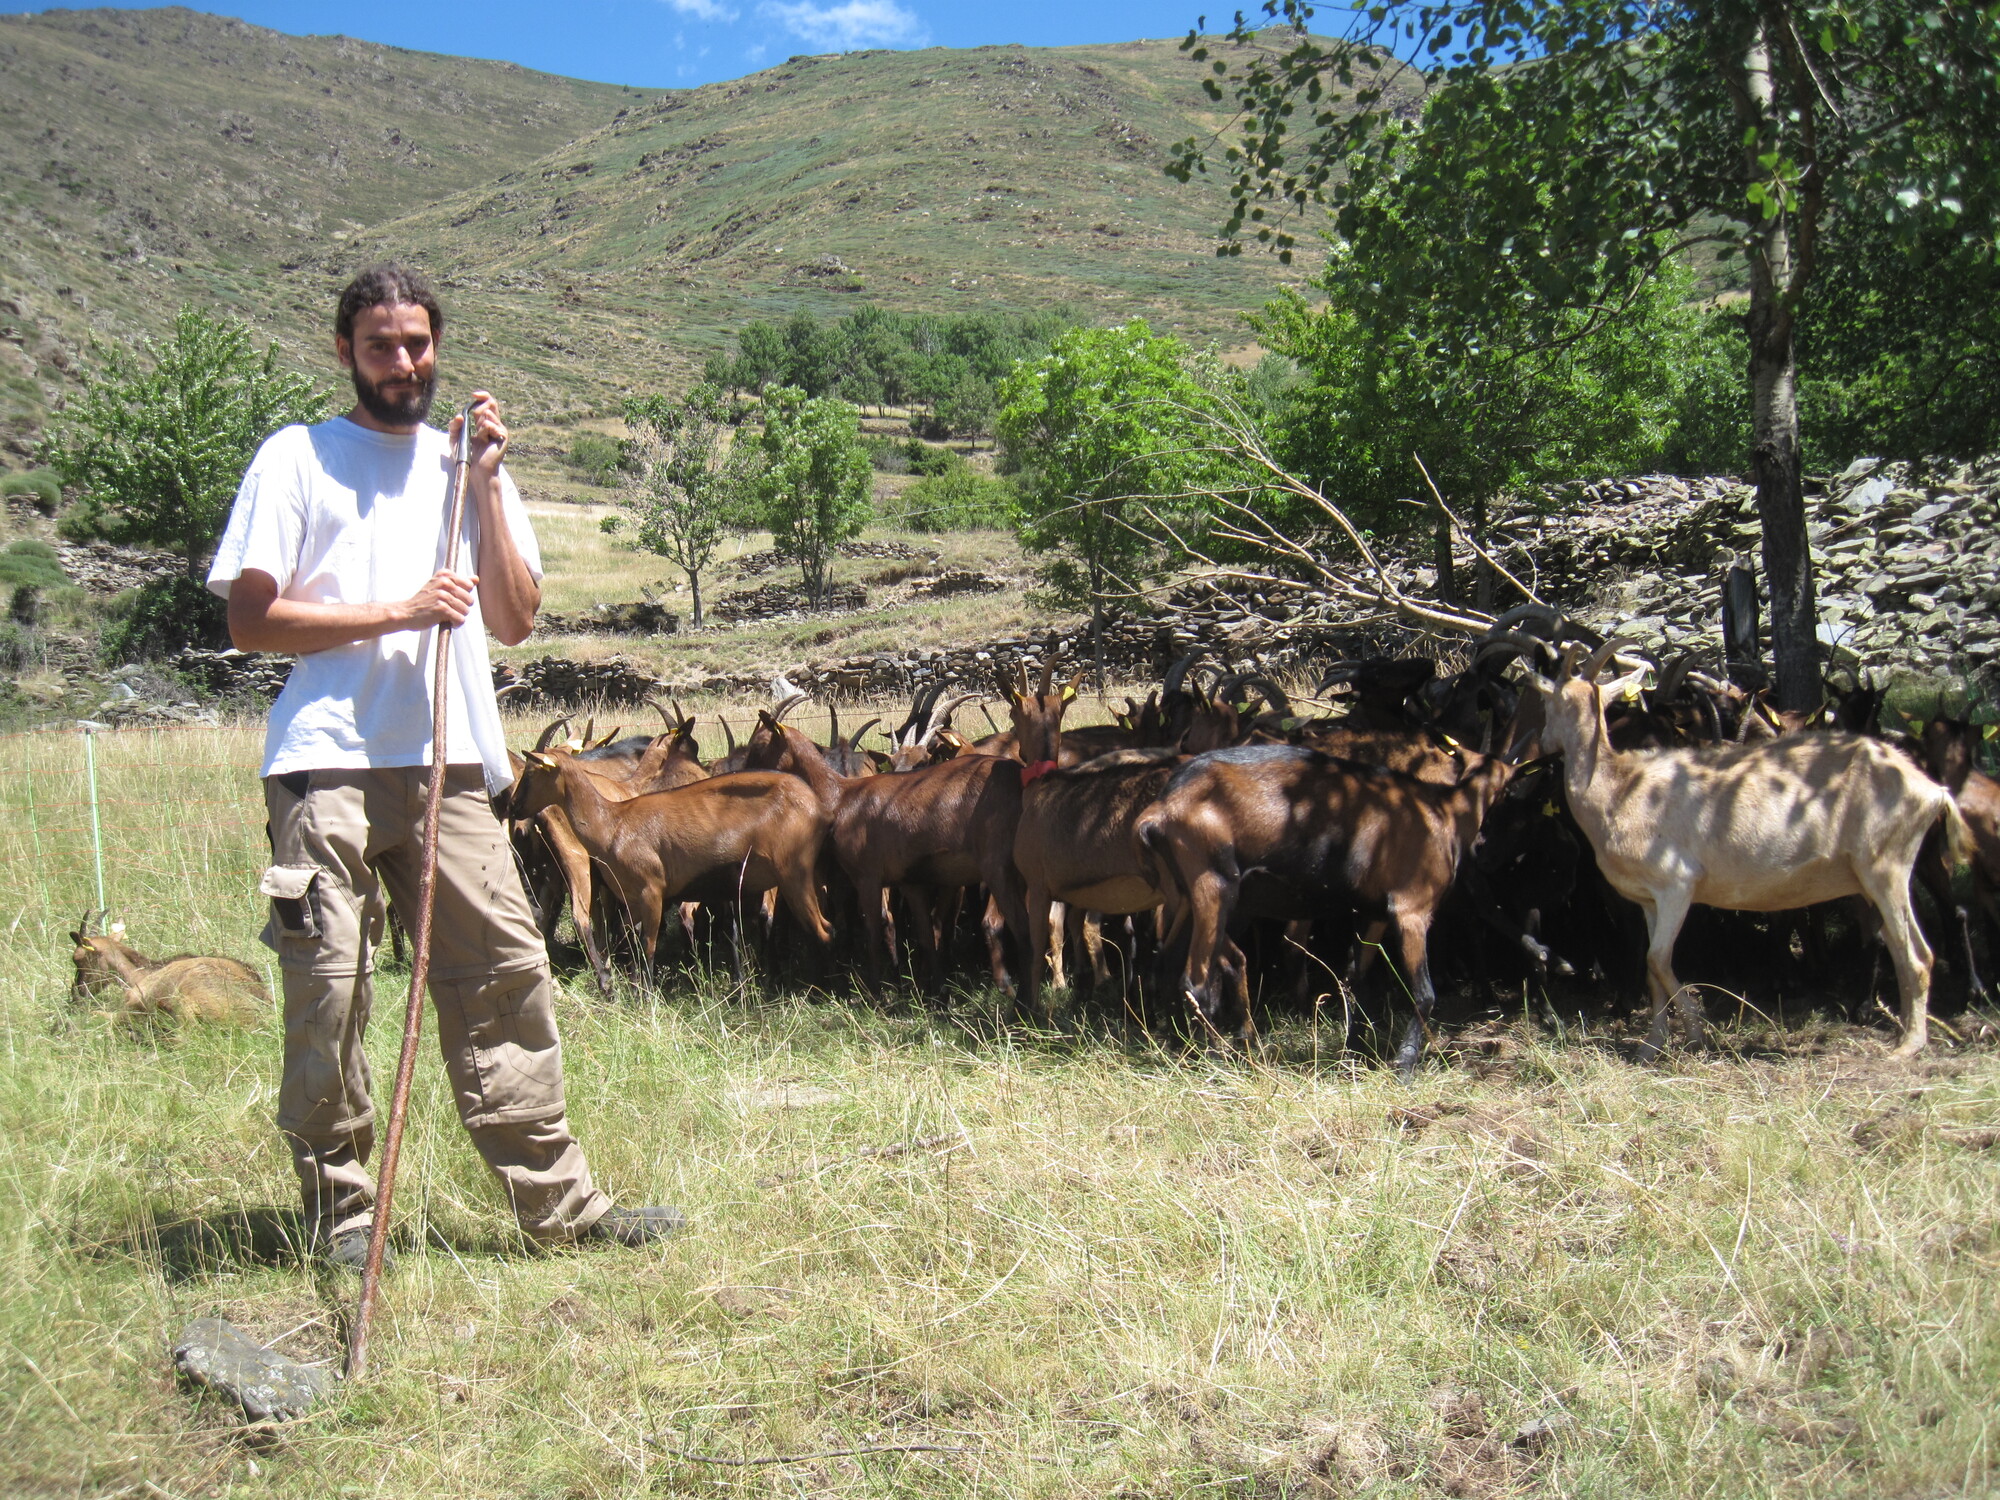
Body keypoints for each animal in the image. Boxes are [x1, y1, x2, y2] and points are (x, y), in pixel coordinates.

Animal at [1528, 644, 1968, 1056]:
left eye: (1548, 702)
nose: (1540, 745)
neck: (1621, 789)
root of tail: (1932, 790)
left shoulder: (1677, 885)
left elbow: (1659, 960)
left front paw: (1695, 1035)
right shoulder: (1649, 900)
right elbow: (1654, 969)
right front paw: (1651, 1046)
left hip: (1887, 869)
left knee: (1916, 955)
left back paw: (1908, 1046)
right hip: (1878, 876)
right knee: (1905, 946)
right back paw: (1904, 1033)